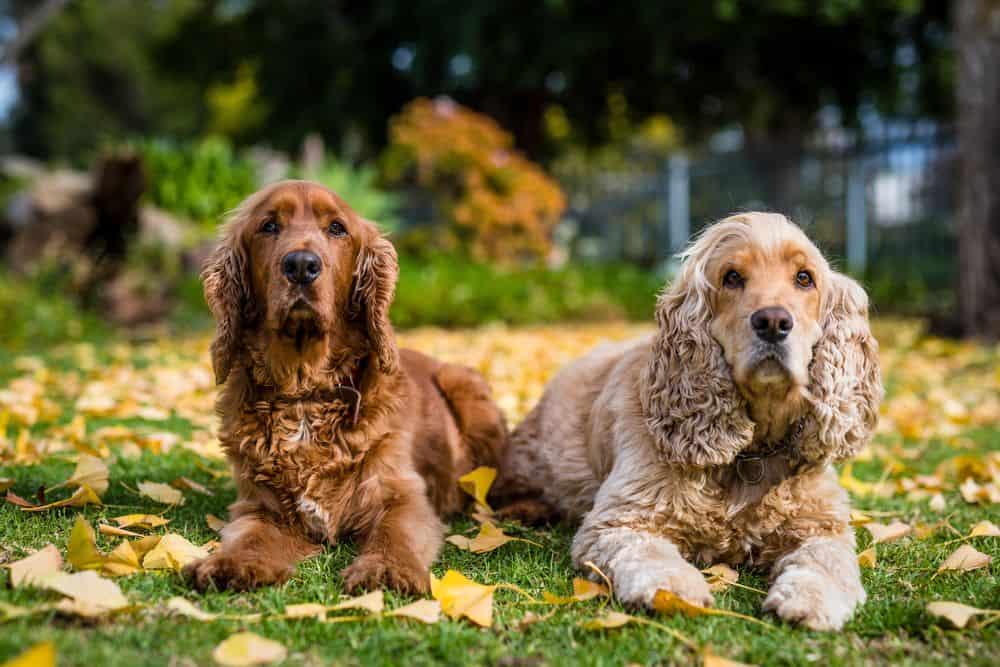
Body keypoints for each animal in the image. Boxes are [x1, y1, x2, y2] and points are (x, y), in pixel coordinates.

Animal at [186, 180, 508, 592]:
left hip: (465, 388)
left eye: (337, 228)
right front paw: (232, 563)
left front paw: (387, 570)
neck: (304, 394)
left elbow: (394, 534)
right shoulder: (261, 506)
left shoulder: (401, 494)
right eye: (268, 226)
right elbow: (251, 536)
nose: (301, 265)